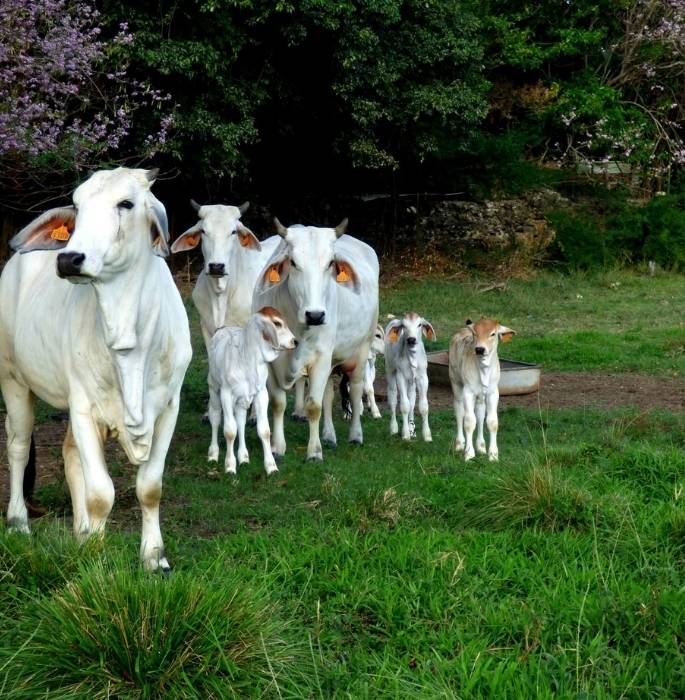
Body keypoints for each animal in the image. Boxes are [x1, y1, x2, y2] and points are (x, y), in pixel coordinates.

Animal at [0, 167, 192, 572]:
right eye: (77, 205)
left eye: (126, 203)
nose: (69, 259)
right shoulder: (85, 407)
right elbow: (101, 492)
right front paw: (96, 557)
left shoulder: (169, 407)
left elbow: (150, 488)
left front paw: (153, 557)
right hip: (13, 379)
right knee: (18, 447)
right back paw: (19, 522)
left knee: (70, 455)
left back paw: (81, 531)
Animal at [252, 218, 379, 461]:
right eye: (293, 262)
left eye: (330, 263)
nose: (315, 315)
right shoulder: (271, 363)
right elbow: (278, 404)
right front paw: (277, 447)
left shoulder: (321, 359)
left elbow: (313, 406)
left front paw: (314, 451)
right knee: (328, 395)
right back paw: (329, 435)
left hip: (360, 352)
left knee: (356, 391)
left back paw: (355, 435)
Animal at [449, 317, 515, 461]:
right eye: (474, 333)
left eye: (493, 334)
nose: (479, 349)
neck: (483, 370)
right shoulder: (468, 391)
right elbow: (469, 421)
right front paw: (469, 454)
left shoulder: (493, 393)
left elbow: (492, 422)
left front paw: (493, 455)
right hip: (456, 382)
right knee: (459, 412)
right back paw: (459, 444)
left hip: (480, 396)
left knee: (479, 414)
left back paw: (481, 446)